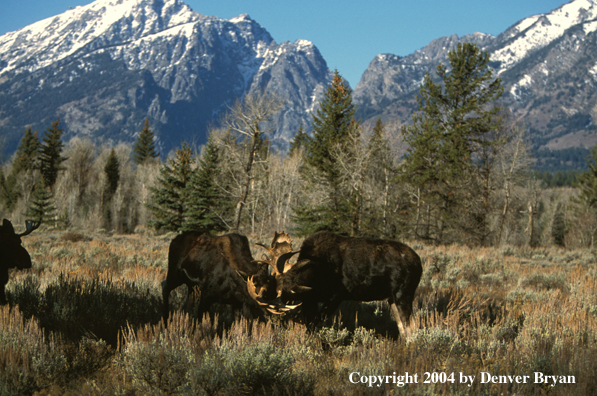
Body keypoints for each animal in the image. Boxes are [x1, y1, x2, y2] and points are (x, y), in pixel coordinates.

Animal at [247, 232, 424, 338]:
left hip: (404, 294)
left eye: (285, 295)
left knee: (412, 328)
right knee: (403, 329)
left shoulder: (337, 295)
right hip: (391, 298)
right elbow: (310, 323)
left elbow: (315, 323)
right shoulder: (311, 299)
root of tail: (419, 263)